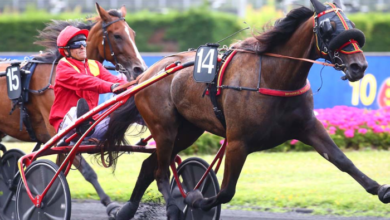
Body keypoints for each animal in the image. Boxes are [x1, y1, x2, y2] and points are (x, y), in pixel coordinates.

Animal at [0, 2, 145, 211]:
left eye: (132, 33)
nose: (139, 69)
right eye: (117, 35)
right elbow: (86, 171)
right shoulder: (58, 134)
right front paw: (109, 204)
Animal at [103, 0, 390, 219]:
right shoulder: (238, 141)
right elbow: (226, 191)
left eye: (351, 24)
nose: (359, 66)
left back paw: (126, 210)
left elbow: (342, 160)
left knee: (148, 166)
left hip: (186, 130)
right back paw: (174, 207)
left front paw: (379, 188)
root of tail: (146, 74)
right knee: (160, 171)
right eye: (327, 26)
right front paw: (196, 200)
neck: (273, 77)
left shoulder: (307, 126)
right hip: (164, 128)